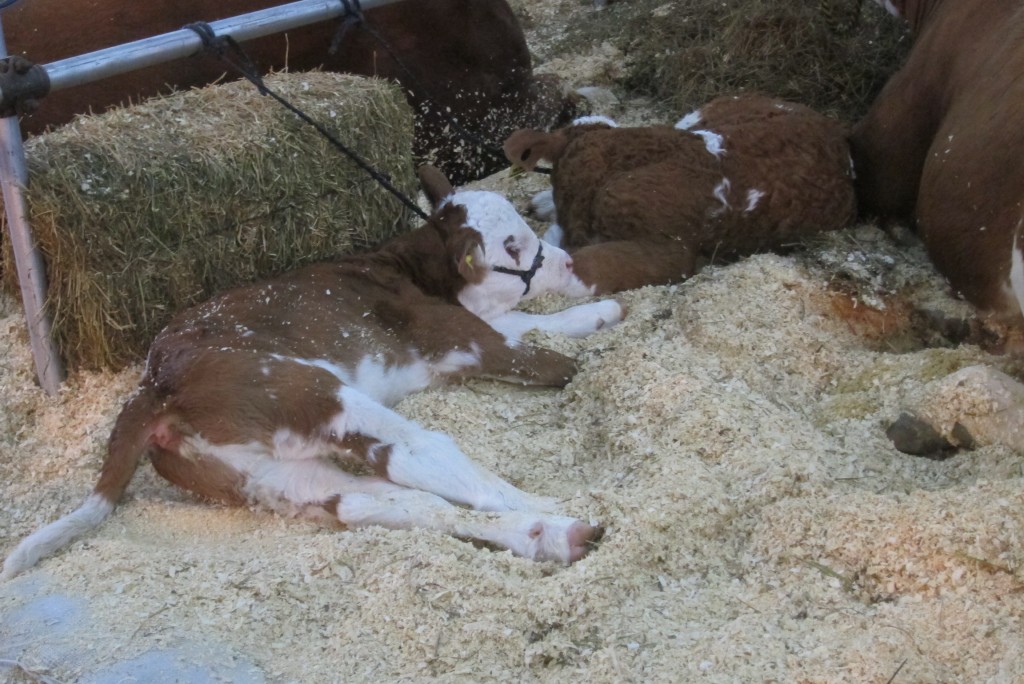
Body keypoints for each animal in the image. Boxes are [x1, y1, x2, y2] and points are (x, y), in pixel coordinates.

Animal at [2, 165, 622, 577]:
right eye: (513, 246)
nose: (566, 260)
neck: (417, 271)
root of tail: (154, 384)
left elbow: (532, 323)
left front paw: (600, 311)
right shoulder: (457, 337)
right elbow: (543, 357)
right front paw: (590, 335)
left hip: (257, 474)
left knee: (370, 502)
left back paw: (550, 536)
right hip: (307, 389)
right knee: (420, 453)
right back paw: (543, 509)